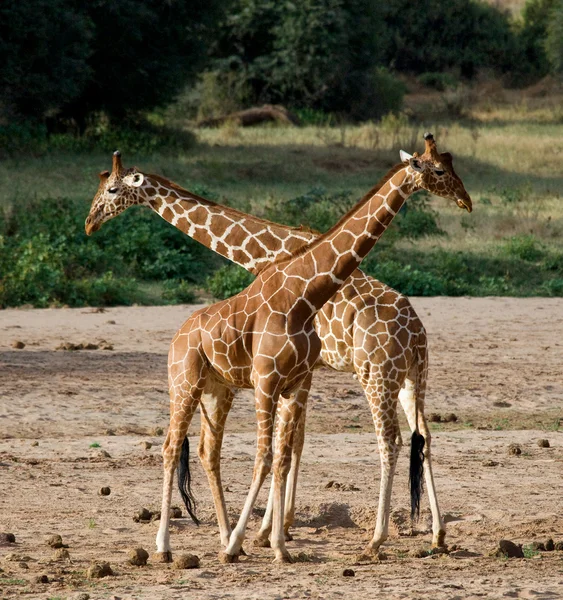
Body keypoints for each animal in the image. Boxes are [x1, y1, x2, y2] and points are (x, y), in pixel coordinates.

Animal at [86, 135, 474, 556]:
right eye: (442, 168)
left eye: (111, 189)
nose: (90, 222)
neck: (266, 253)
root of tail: (417, 333)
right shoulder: (300, 375)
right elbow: (292, 446)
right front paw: (275, 529)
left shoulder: (298, 374)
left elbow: (284, 448)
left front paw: (266, 532)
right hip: (411, 379)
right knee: (425, 437)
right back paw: (436, 534)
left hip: (377, 376)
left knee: (391, 440)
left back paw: (378, 537)